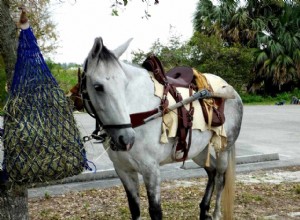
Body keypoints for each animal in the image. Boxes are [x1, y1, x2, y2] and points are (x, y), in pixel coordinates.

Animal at [82, 37, 244, 219]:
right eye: (98, 87)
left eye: (125, 84)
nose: (126, 138)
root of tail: (230, 89)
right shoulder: (124, 170)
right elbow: (134, 208)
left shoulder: (151, 169)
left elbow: (155, 211)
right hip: (198, 151)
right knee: (212, 171)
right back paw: (204, 210)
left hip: (223, 148)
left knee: (221, 178)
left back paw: (215, 213)